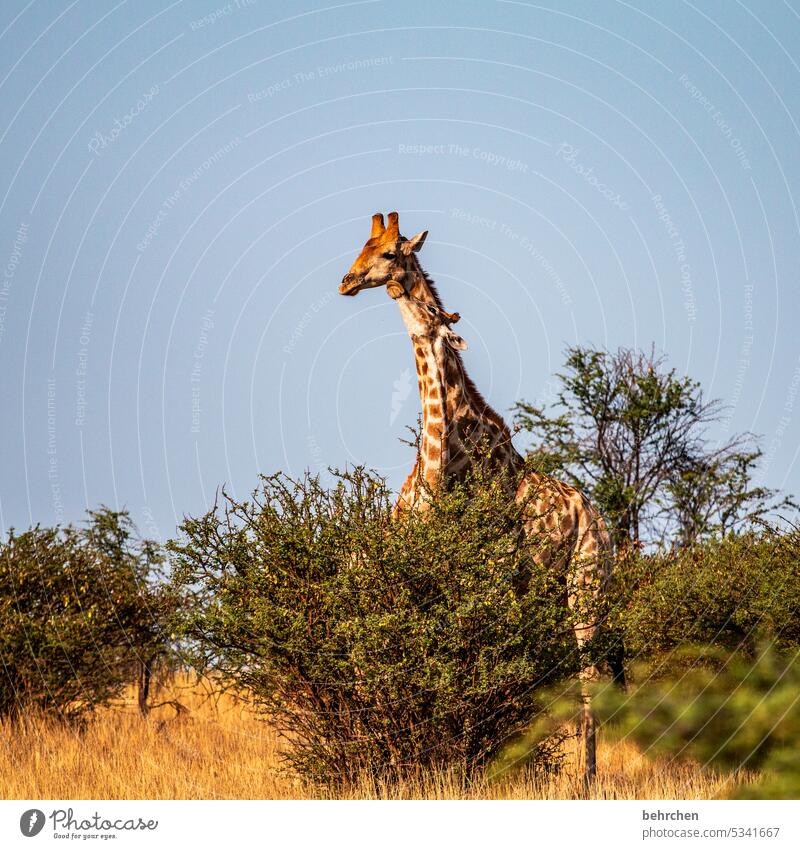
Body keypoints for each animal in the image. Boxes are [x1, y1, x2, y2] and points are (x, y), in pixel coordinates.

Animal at [338, 209, 620, 784]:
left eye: (389, 252)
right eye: (362, 247)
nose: (346, 281)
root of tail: (600, 521)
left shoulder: (486, 575)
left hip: (586, 584)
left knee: (589, 676)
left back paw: (586, 780)